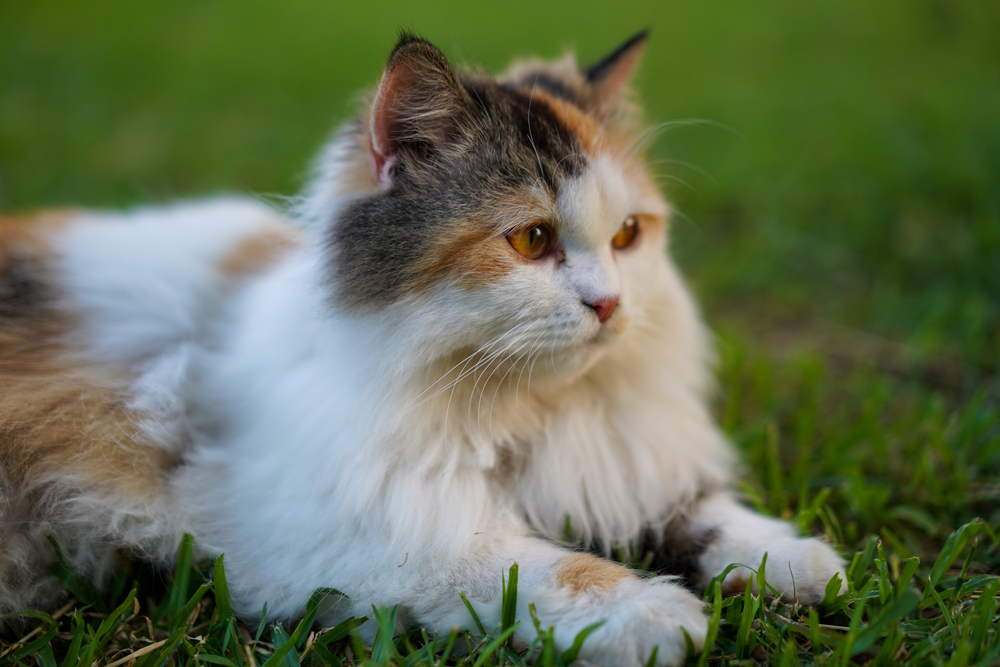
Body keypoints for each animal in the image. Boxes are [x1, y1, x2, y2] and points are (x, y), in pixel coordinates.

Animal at [0, 32, 844, 667]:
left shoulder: (620, 461)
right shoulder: (347, 531)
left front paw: (797, 562)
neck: (535, 407)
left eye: (628, 235)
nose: (609, 304)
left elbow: (703, 512)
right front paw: (652, 613)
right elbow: (531, 562)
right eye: (530, 239)